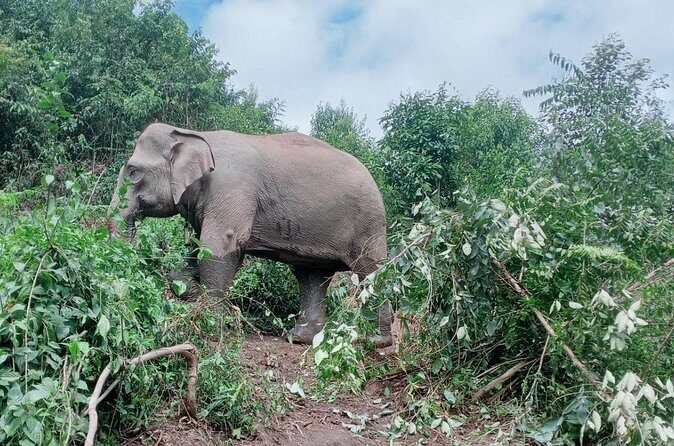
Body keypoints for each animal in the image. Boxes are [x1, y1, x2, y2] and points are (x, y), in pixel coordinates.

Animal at [108, 123, 392, 347]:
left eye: (133, 172)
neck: (195, 134)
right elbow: (198, 247)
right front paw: (195, 292)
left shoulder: (231, 189)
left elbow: (219, 245)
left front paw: (212, 322)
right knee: (311, 276)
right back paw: (300, 337)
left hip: (368, 224)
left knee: (371, 269)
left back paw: (377, 340)